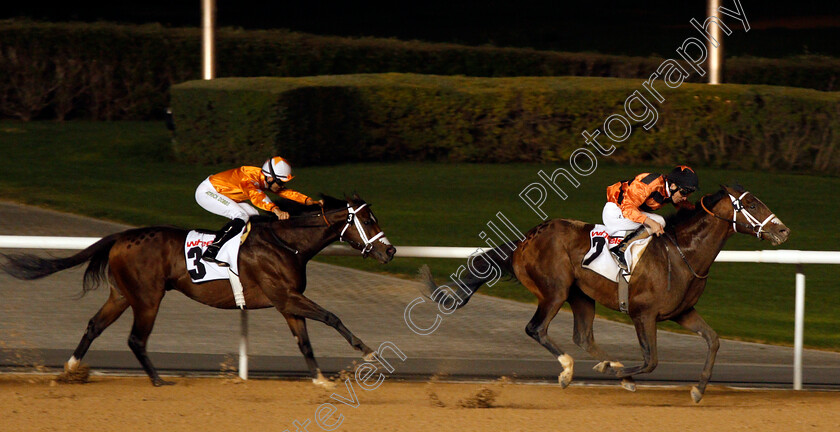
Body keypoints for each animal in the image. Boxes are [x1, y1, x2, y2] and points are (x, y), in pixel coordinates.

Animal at [1, 194, 396, 386]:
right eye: (368, 219)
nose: (390, 250)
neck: (287, 243)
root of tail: (123, 236)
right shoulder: (286, 296)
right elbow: (332, 316)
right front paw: (368, 354)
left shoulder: (287, 303)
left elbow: (305, 342)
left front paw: (320, 380)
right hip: (148, 297)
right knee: (136, 338)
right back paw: (158, 380)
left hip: (122, 294)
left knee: (94, 326)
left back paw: (70, 369)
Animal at [424, 185, 792, 402]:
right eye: (753, 203)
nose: (784, 230)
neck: (682, 253)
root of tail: (526, 238)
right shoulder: (643, 314)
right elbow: (651, 360)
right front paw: (620, 373)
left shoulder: (682, 313)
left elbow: (713, 340)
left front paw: (698, 389)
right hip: (555, 291)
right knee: (536, 328)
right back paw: (570, 370)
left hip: (581, 295)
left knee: (583, 336)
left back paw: (607, 364)